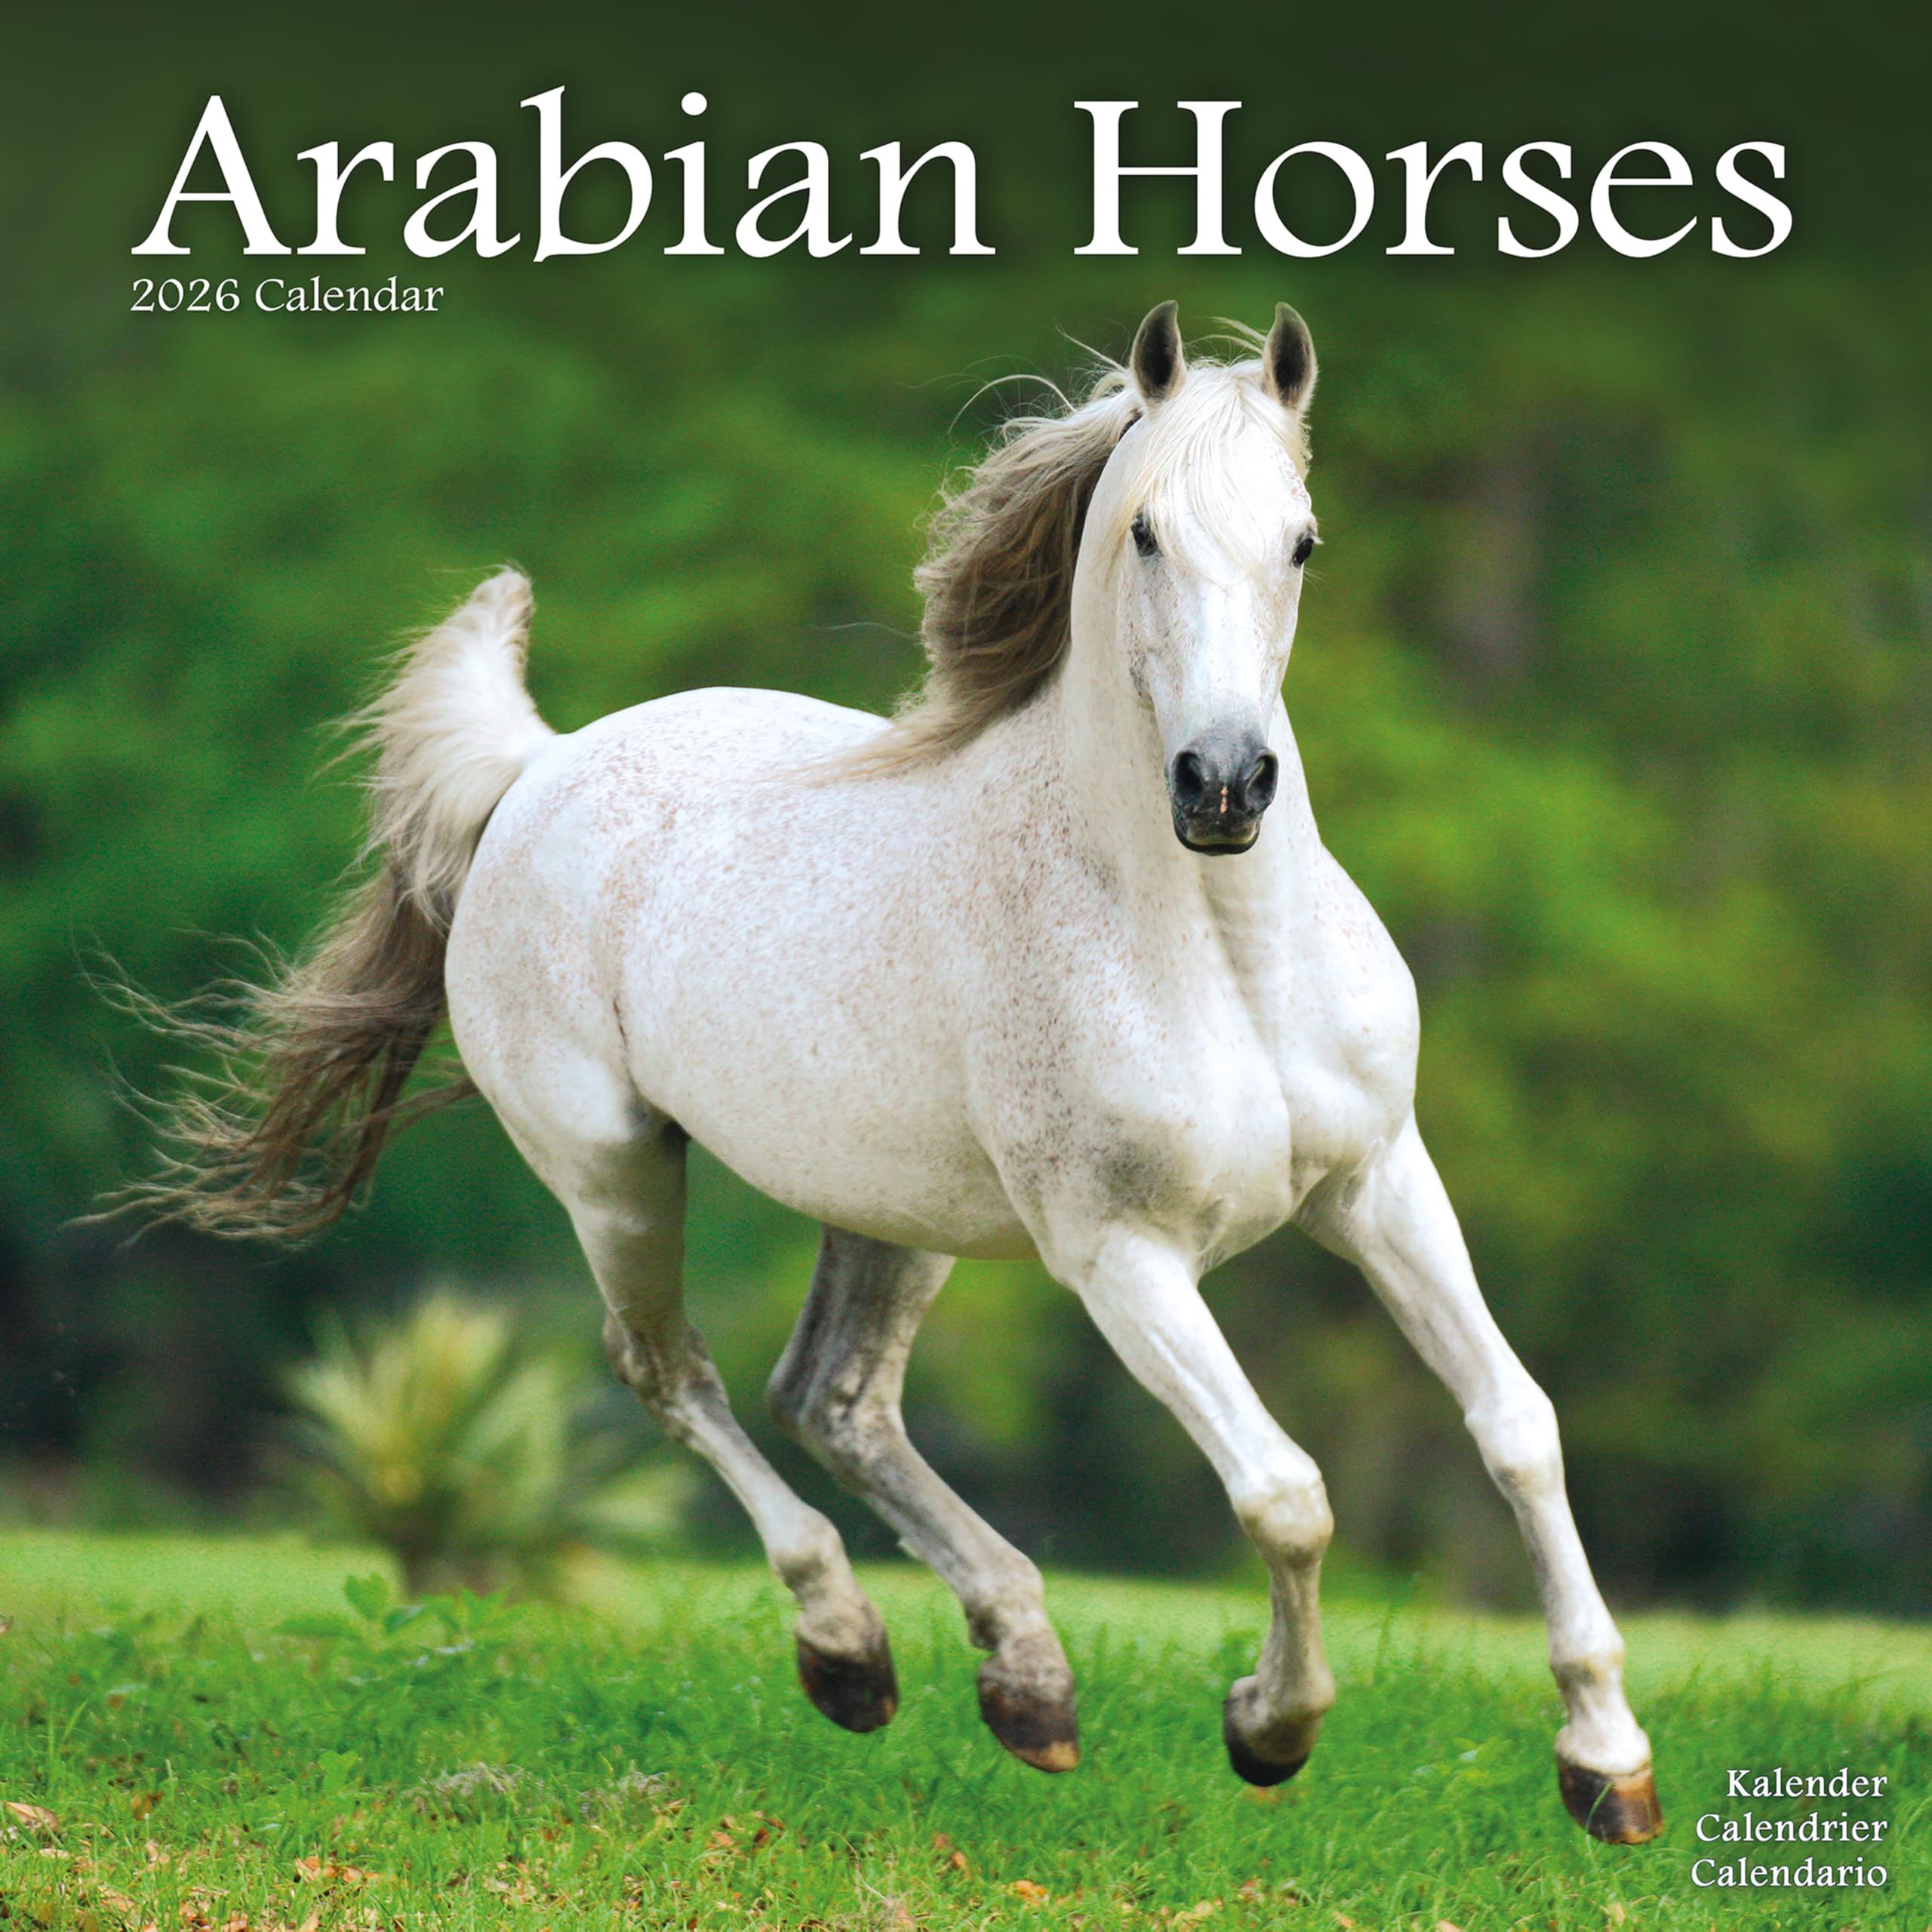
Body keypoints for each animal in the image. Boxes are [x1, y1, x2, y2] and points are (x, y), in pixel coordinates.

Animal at [142, 302, 1662, 1843]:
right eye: (1146, 535)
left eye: (1302, 540)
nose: (1224, 785)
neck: (1220, 956)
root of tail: (539, 766)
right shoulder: (1120, 1256)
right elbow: (1285, 1494)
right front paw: (1268, 1730)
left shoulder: (1380, 1182)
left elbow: (1517, 1427)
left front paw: (1607, 1762)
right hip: (615, 1175)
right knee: (672, 1373)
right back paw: (850, 1655)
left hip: (890, 1210)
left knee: (834, 1398)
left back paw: (1027, 1685)